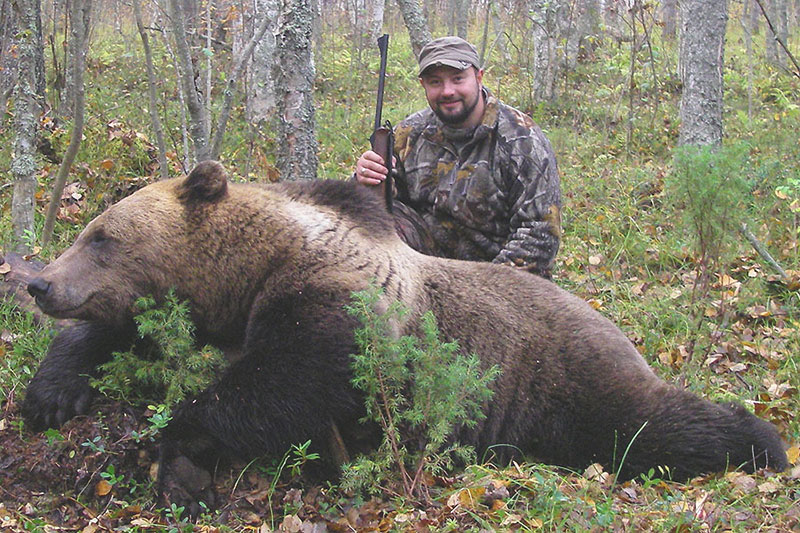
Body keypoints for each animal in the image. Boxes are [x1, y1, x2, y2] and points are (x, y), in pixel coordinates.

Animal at [24, 161, 788, 511]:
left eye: (102, 235)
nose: (40, 284)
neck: (250, 269)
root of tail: (613, 323)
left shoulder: (340, 306)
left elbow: (288, 385)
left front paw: (177, 452)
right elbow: (122, 332)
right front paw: (52, 393)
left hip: (567, 374)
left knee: (649, 423)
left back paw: (763, 441)